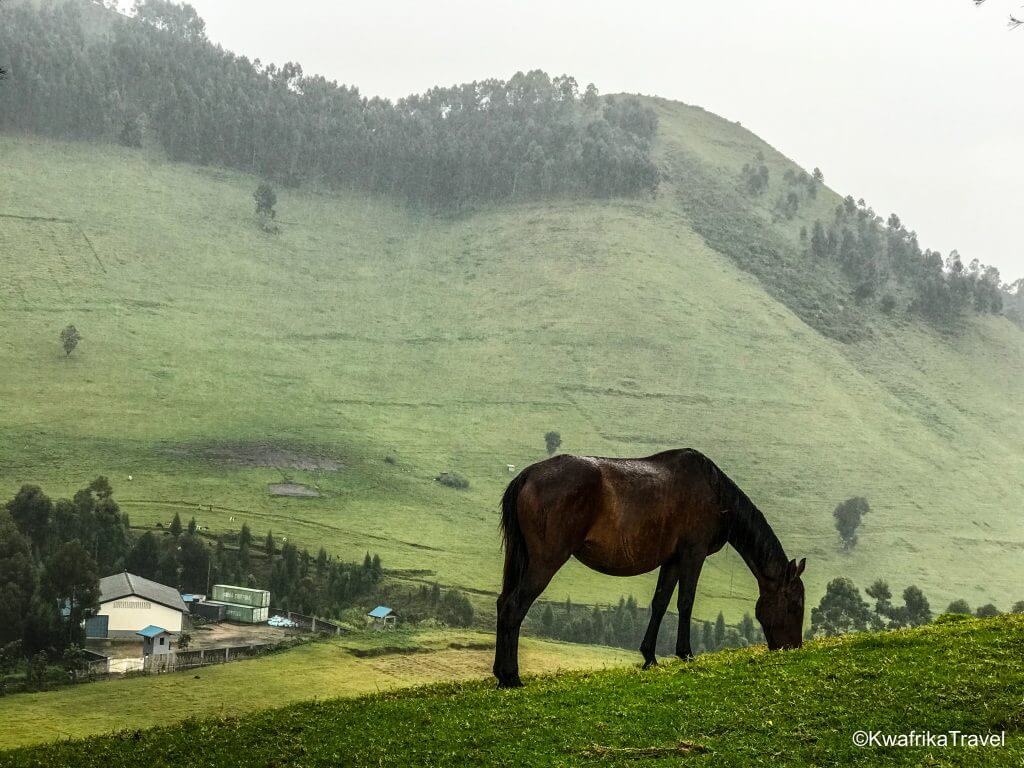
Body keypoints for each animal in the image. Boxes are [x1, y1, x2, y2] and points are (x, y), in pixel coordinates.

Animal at [491, 448, 802, 688]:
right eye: (795, 605)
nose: (794, 647)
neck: (715, 492)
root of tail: (529, 475)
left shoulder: (672, 560)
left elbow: (660, 602)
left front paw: (649, 657)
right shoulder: (693, 554)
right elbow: (685, 601)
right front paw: (685, 653)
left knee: (503, 602)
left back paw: (501, 674)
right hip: (545, 561)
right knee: (514, 607)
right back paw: (512, 676)